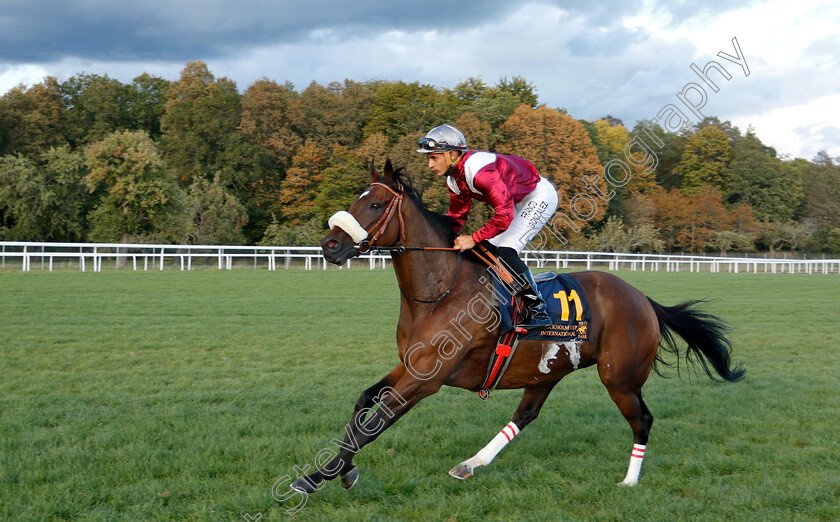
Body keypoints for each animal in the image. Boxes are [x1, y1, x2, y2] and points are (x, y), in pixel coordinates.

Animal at [288, 160, 740, 498]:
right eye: (357, 200)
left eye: (377, 204)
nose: (329, 246)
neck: (441, 289)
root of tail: (643, 298)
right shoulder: (411, 365)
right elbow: (363, 404)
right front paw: (343, 472)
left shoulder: (427, 378)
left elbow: (375, 423)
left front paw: (313, 479)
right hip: (545, 371)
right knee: (526, 414)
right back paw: (470, 464)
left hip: (620, 378)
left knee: (642, 420)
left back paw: (629, 481)